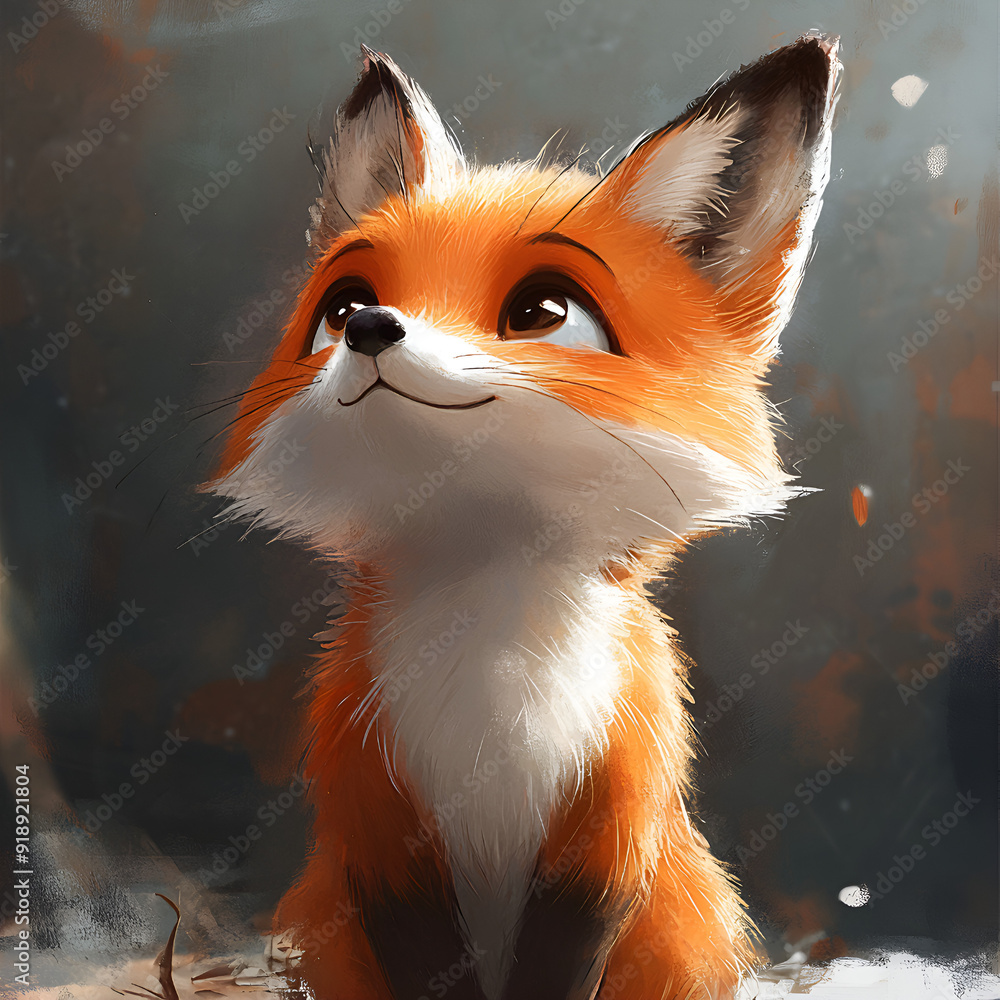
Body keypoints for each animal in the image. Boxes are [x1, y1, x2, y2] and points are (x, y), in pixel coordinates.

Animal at [206, 34, 840, 1000]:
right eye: (342, 302)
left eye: (542, 311)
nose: (370, 327)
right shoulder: (379, 831)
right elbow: (430, 962)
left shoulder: (607, 829)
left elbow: (559, 959)